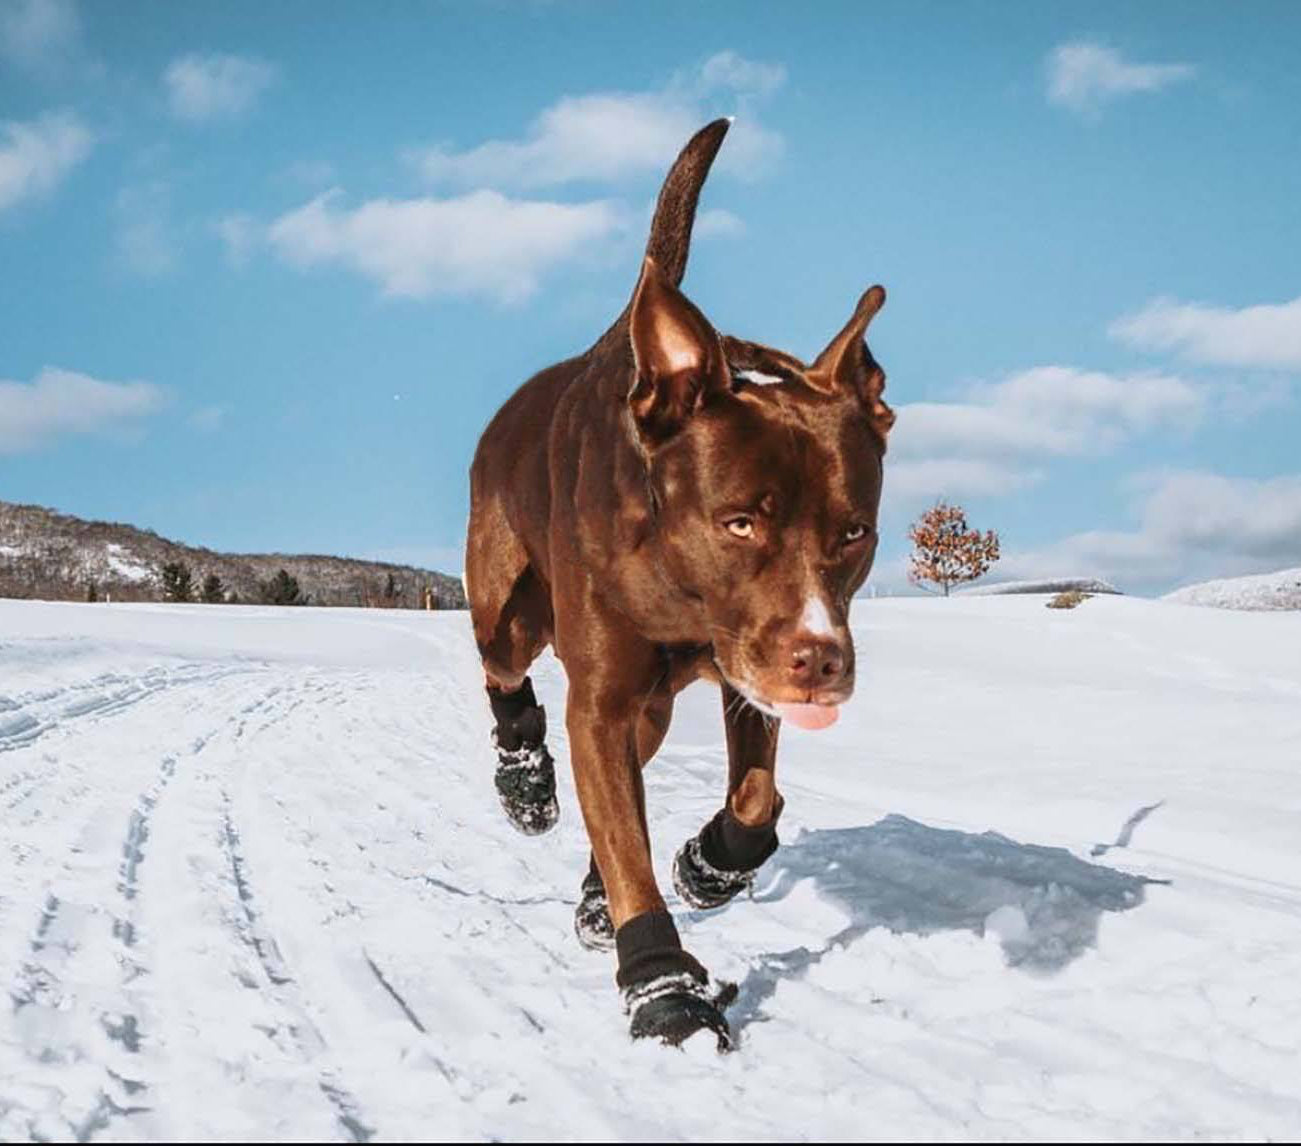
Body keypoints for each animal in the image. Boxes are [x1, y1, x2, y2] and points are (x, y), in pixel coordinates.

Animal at [463, 118, 889, 1045]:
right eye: (739, 523)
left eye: (854, 534)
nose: (822, 662)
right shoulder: (600, 699)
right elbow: (625, 843)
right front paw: (663, 988)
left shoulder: (742, 678)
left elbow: (753, 797)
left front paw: (708, 865)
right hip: (507, 605)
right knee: (504, 671)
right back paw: (525, 782)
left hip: (655, 703)